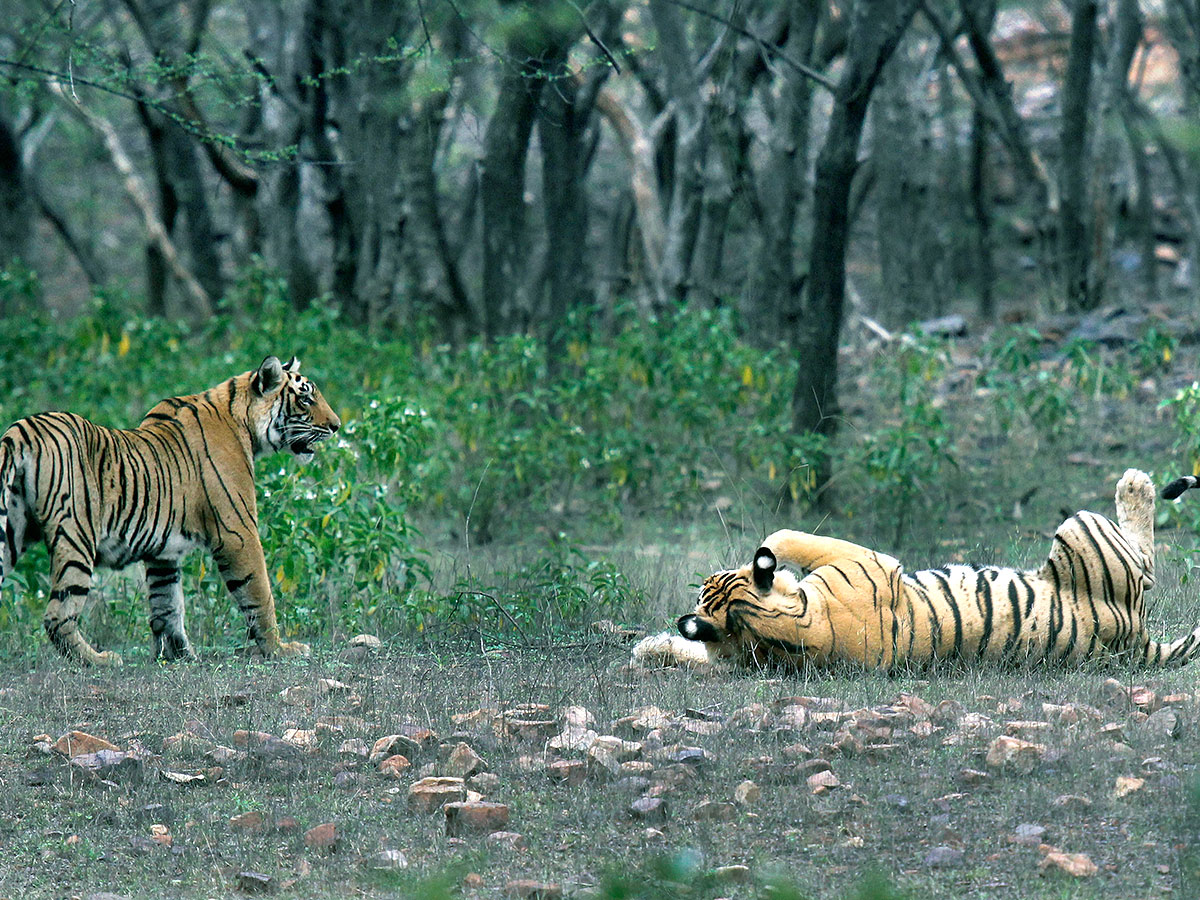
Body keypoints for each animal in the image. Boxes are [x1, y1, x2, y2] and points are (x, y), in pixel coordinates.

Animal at [0, 355, 340, 667]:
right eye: (306, 398)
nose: (336, 426)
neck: (243, 420)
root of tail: (21, 430)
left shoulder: (162, 553)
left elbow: (167, 604)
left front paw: (178, 656)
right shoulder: (238, 532)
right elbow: (259, 594)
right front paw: (279, 650)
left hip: (11, 533)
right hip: (76, 536)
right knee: (58, 614)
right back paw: (99, 660)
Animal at [633, 468, 1200, 672]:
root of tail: (1134, 640)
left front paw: (650, 648)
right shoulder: (868, 560)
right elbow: (783, 540)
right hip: (1082, 528)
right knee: (1147, 562)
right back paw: (1136, 482)